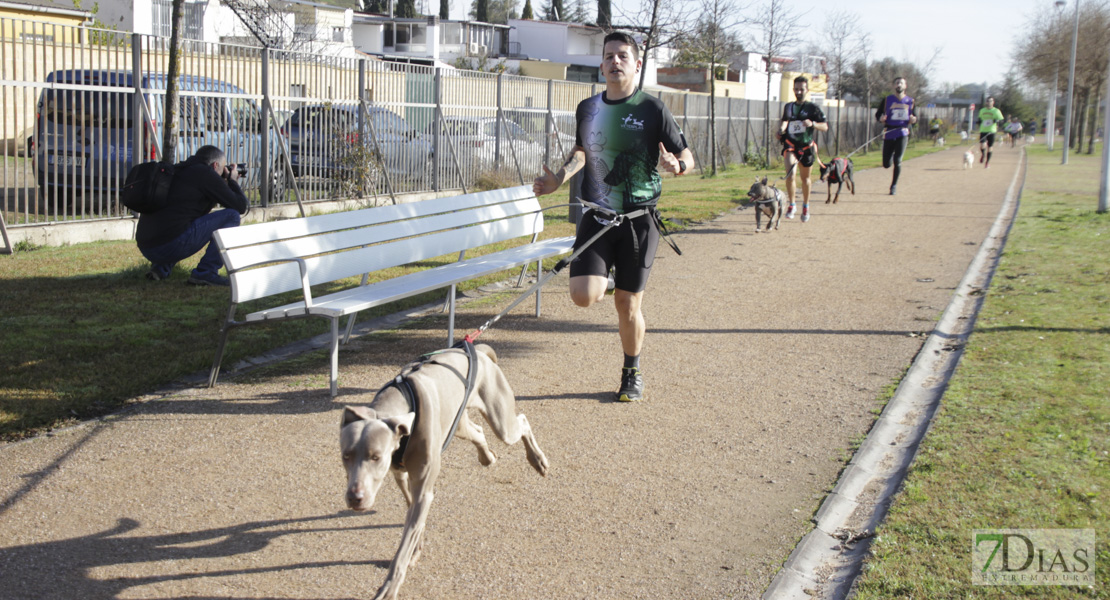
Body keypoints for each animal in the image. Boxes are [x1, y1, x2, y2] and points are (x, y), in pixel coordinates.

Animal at [337, 343, 546, 594]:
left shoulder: (423, 490)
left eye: (376, 457)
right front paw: (416, 550)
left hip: (500, 419)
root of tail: (478, 349)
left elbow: (405, 542)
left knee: (522, 422)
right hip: (458, 421)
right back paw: (487, 456)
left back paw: (537, 459)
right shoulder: (403, 478)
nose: (354, 498)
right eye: (345, 456)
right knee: (478, 432)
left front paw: (389, 586)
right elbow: (414, 521)